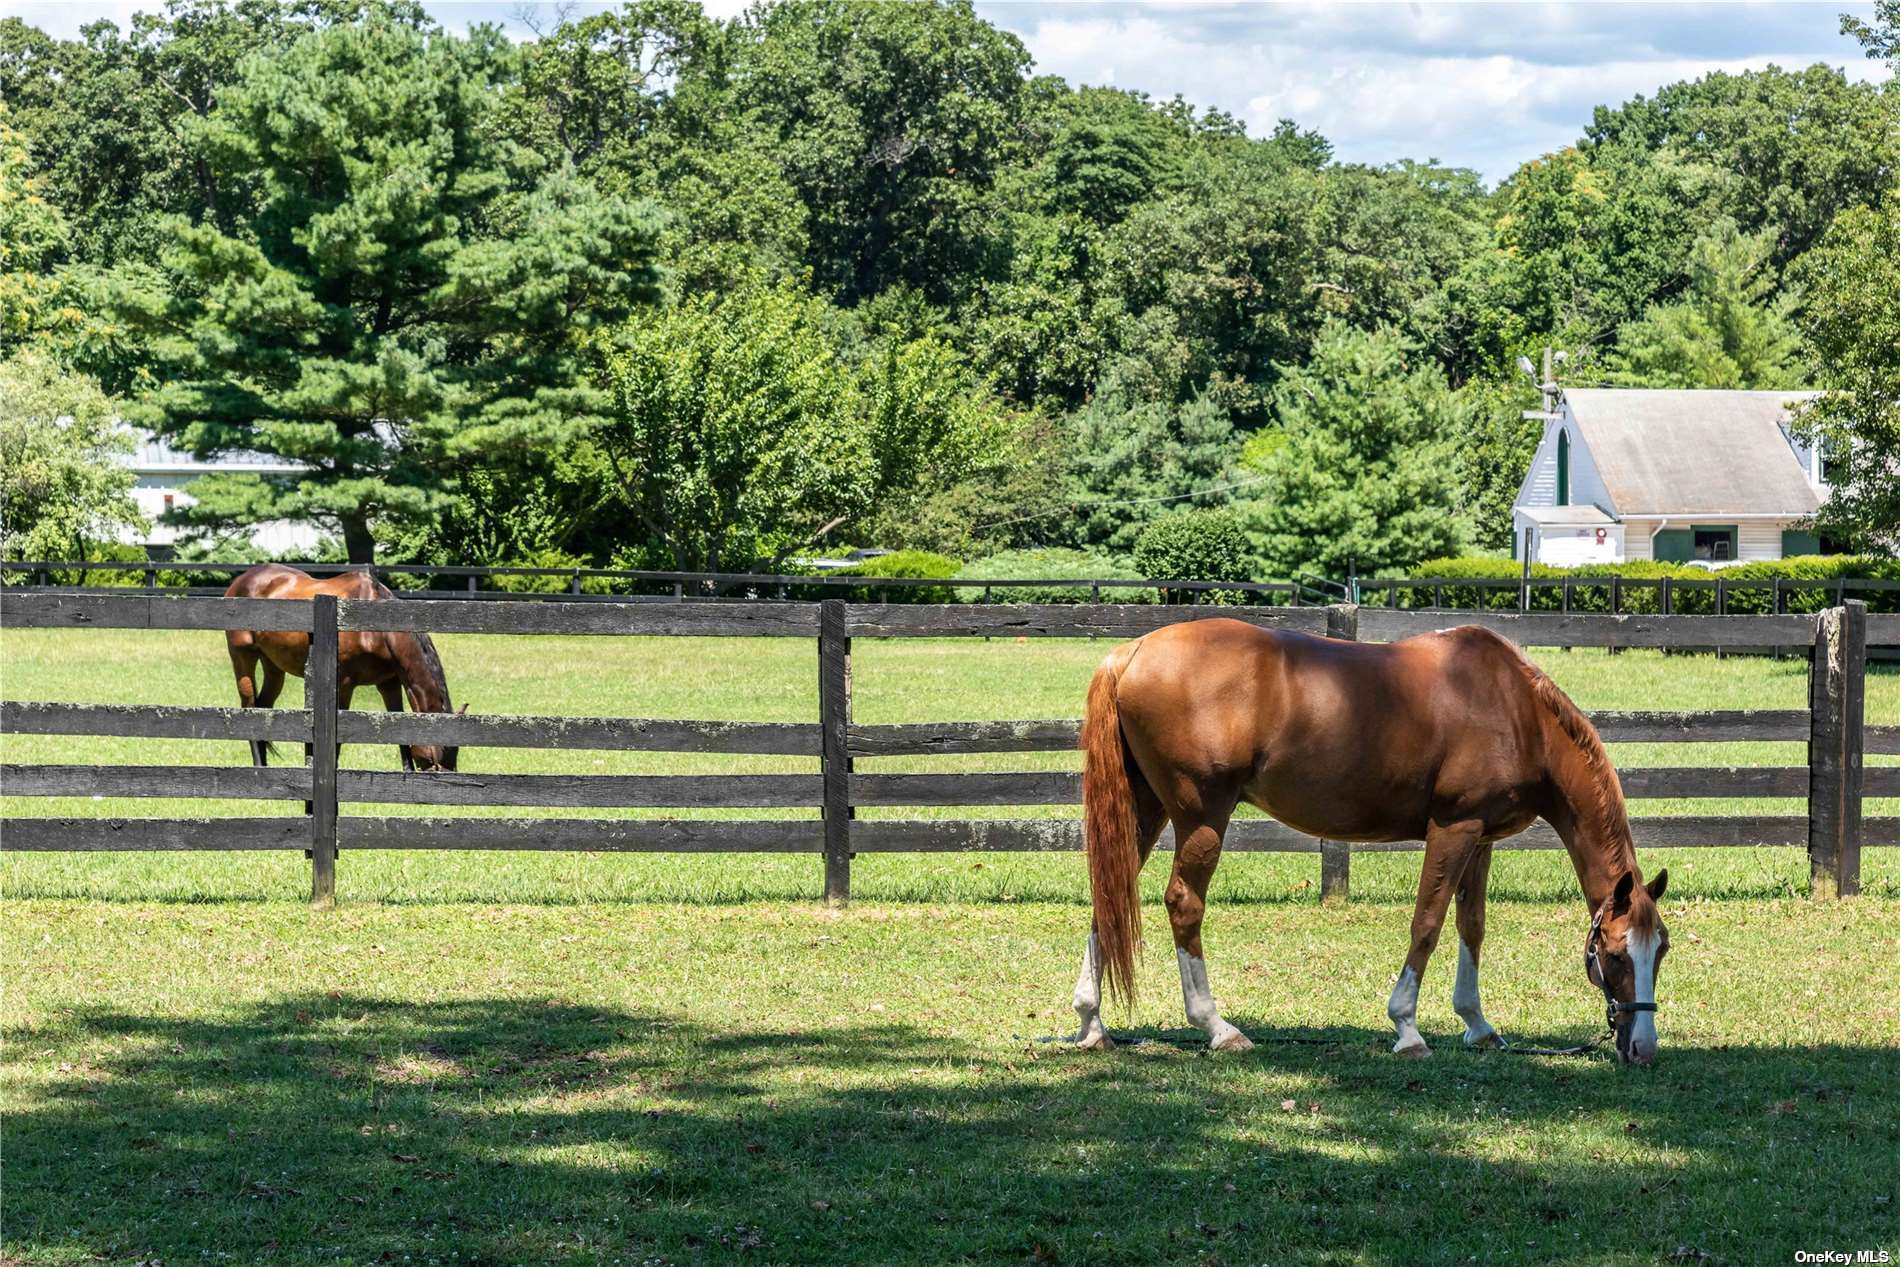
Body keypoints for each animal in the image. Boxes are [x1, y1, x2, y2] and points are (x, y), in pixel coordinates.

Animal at [219, 566, 459, 775]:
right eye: (440, 758)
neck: (376, 630)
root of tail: (241, 580)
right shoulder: (343, 684)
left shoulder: (389, 683)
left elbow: (397, 724)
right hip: (243, 657)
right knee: (249, 705)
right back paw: (259, 766)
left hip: (273, 666)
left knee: (264, 708)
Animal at [1079, 619, 1672, 1063]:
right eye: (1614, 953)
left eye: (1660, 950)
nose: (1642, 1049)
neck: (1514, 709)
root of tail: (1130, 653)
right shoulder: (1453, 829)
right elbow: (1428, 922)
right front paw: (1407, 1029)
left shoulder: (1481, 838)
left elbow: (1472, 926)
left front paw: (1478, 1025)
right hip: (1202, 817)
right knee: (1184, 904)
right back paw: (1217, 1027)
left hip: (1144, 810)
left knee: (1110, 897)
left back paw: (1092, 1024)